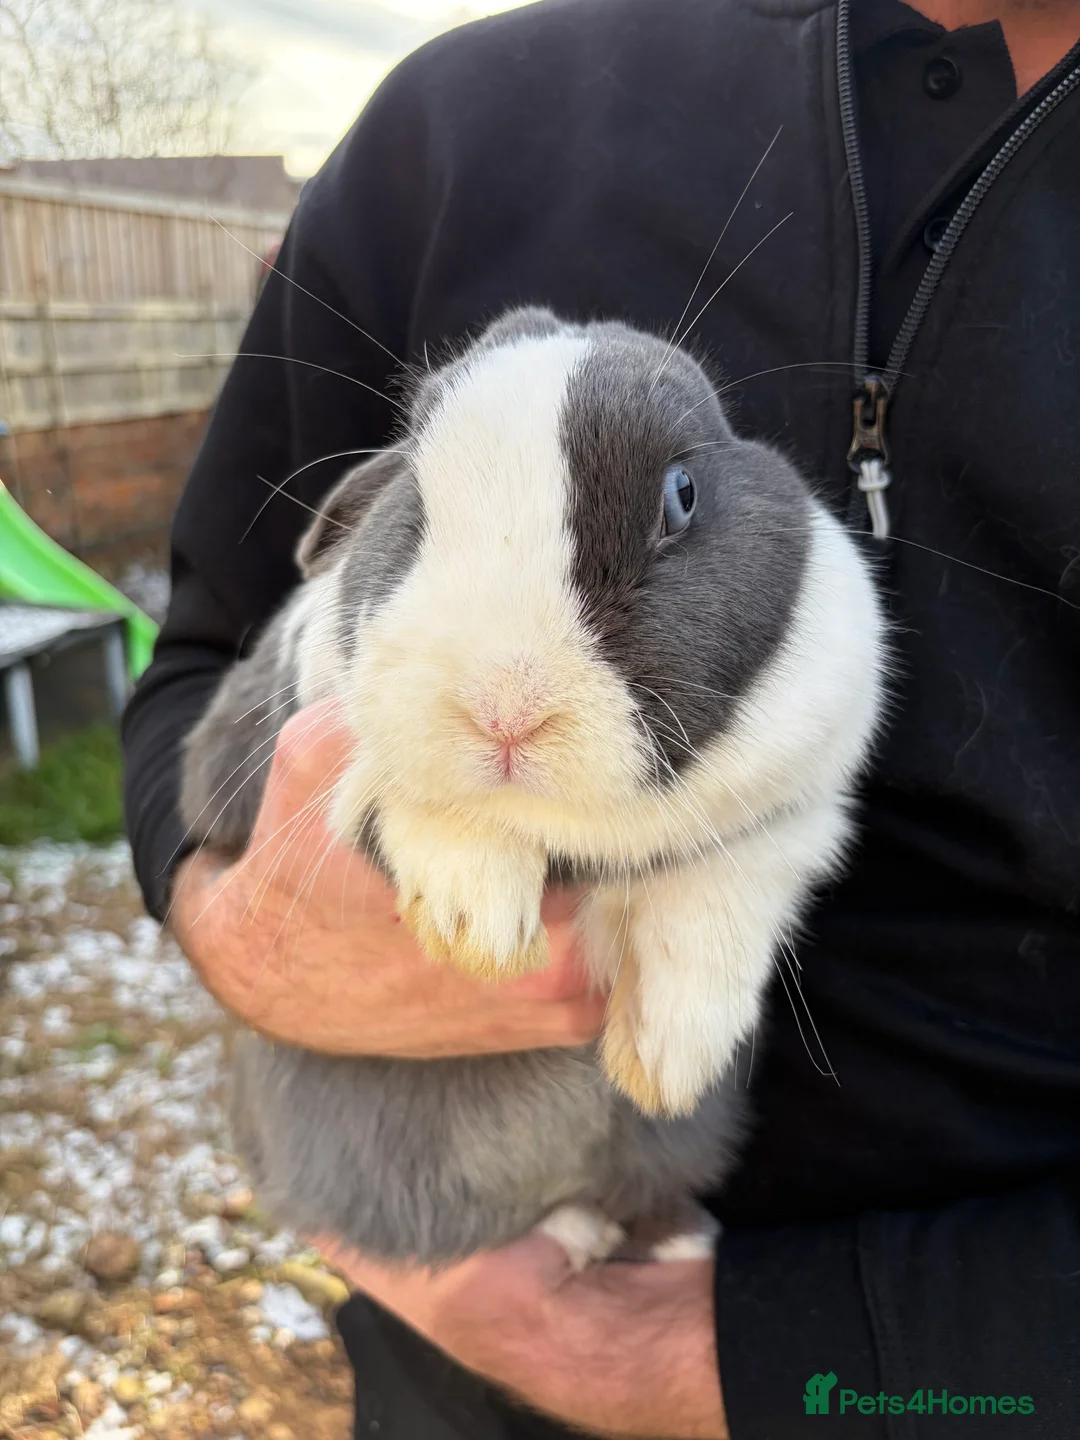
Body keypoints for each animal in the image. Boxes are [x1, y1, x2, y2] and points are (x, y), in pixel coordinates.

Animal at [179, 306, 887, 1267]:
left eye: (681, 495)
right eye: (415, 499)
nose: (503, 706)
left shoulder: (803, 809)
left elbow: (723, 898)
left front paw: (670, 1056)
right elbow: (414, 806)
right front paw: (472, 917)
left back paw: (674, 1239)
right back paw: (577, 1231)